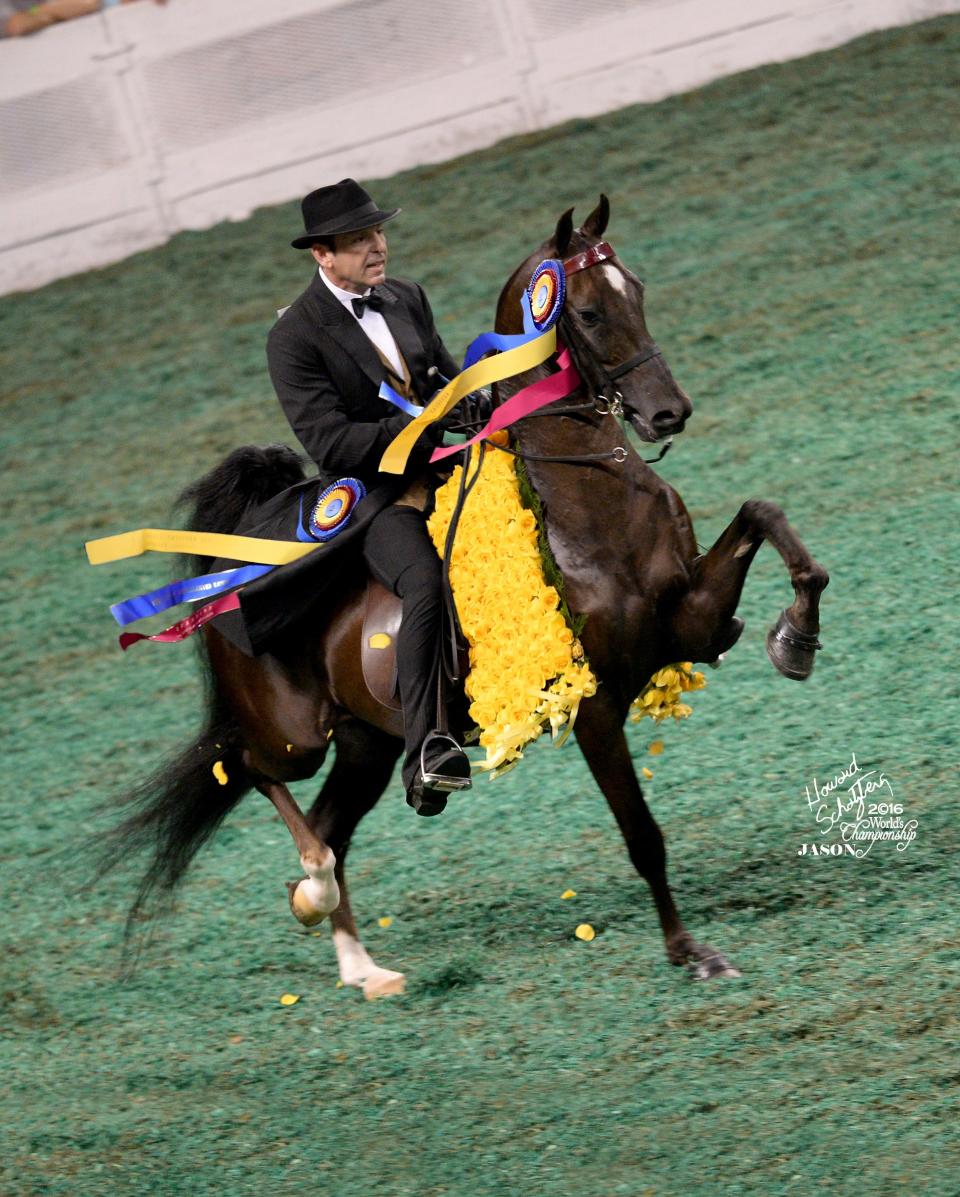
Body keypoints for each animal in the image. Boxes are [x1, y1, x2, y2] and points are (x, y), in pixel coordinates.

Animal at [102, 201, 823, 995]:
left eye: (638, 290)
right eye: (590, 312)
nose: (669, 414)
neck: (589, 492)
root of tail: (226, 587)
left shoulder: (688, 623)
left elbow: (763, 515)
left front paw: (796, 637)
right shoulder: (595, 703)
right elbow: (643, 835)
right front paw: (690, 951)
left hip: (368, 743)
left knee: (330, 823)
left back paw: (363, 967)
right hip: (293, 736)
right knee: (254, 774)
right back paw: (312, 888)